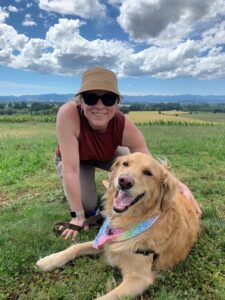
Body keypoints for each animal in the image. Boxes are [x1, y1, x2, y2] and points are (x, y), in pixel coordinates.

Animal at [36, 154, 200, 298]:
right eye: (125, 164)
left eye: (148, 173)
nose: (124, 181)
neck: (130, 221)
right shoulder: (106, 240)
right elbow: (76, 247)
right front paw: (49, 260)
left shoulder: (139, 278)